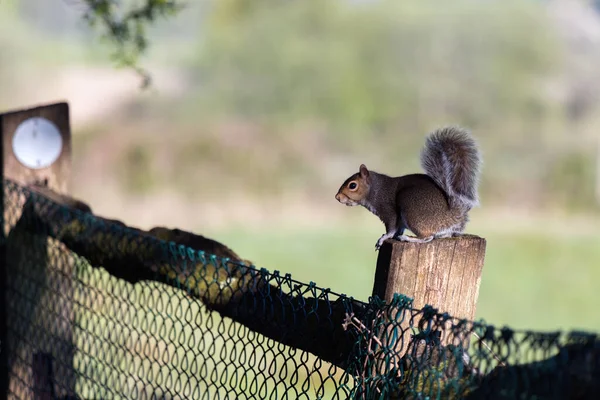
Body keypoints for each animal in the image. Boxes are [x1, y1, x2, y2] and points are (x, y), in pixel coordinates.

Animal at [336, 126, 480, 250]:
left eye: (352, 185)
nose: (337, 197)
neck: (375, 189)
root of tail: (452, 214)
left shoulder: (389, 211)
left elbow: (391, 228)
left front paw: (384, 238)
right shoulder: (398, 220)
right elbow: (398, 228)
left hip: (411, 210)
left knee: (428, 237)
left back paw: (408, 238)